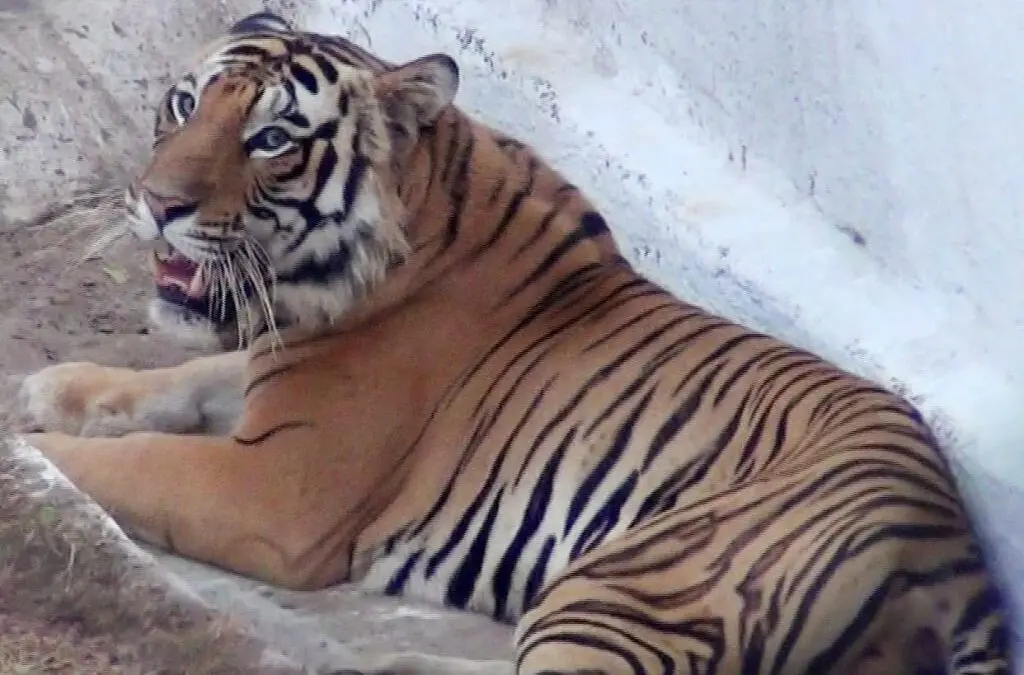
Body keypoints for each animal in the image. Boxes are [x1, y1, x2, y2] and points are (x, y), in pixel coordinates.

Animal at [16, 11, 1013, 675]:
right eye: (183, 103)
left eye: (270, 139)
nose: (156, 202)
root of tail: (950, 553)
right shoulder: (271, 378)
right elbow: (185, 376)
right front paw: (53, 388)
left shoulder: (277, 486)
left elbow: (136, 462)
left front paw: (31, 451)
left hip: (616, 595)